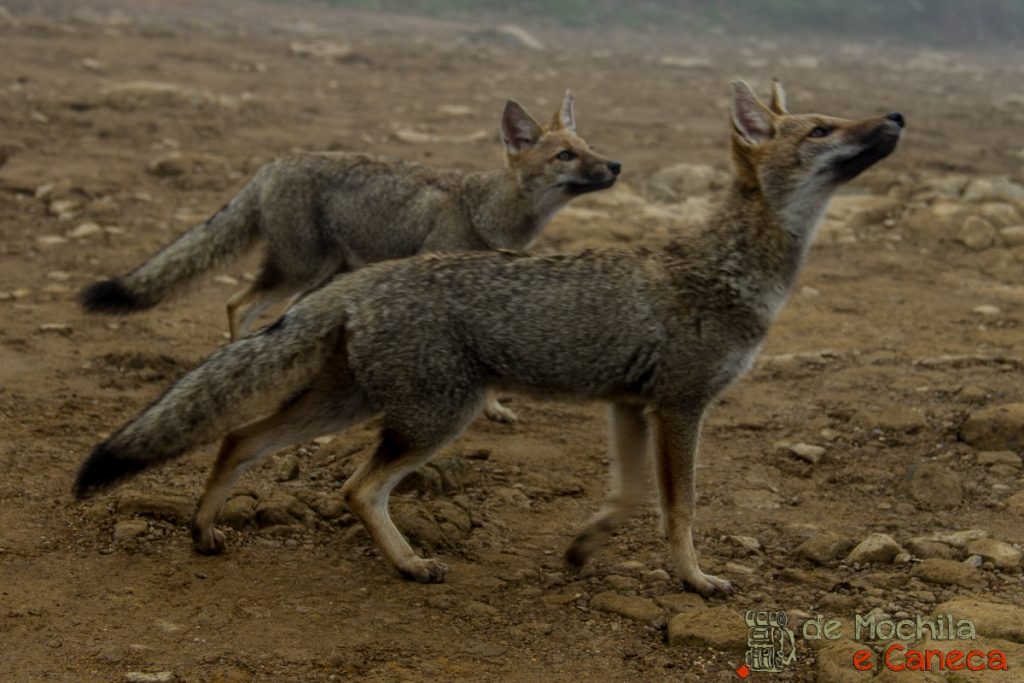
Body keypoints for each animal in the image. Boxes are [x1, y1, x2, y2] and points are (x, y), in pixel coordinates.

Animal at [79, 89, 618, 421]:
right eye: (565, 156)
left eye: (589, 145)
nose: (615, 165)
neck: (485, 209)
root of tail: (273, 164)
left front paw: (495, 409)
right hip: (300, 269)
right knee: (239, 304)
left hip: (325, 275)